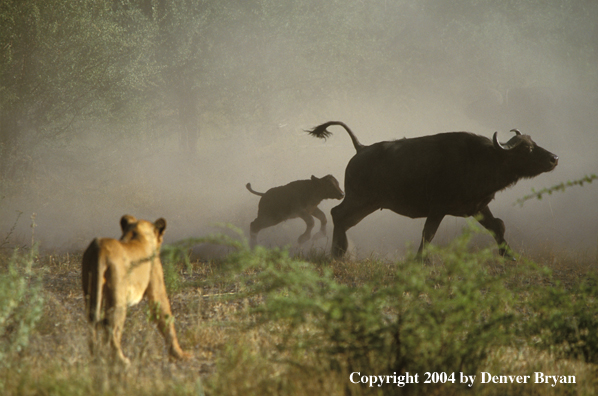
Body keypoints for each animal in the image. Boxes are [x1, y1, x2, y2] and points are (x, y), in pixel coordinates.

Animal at [308, 122, 560, 262]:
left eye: (533, 143)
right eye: (526, 149)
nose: (554, 158)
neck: (481, 159)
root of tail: (361, 148)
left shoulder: (478, 207)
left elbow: (498, 225)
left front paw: (509, 254)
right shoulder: (438, 208)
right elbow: (428, 233)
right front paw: (421, 259)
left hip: (367, 203)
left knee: (342, 218)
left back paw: (340, 251)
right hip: (359, 199)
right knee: (338, 214)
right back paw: (338, 252)